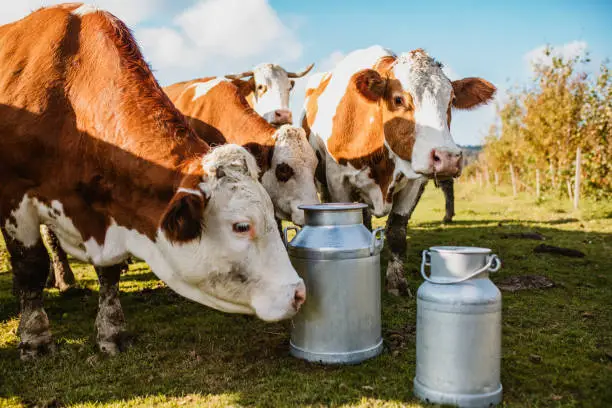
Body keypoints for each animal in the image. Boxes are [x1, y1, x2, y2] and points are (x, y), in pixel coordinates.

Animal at [0, 4, 306, 358]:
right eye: (241, 226)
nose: (299, 293)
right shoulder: (14, 196)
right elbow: (30, 266)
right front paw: (35, 337)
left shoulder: (112, 206)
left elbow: (109, 271)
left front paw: (112, 331)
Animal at [302, 46, 498, 294]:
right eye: (398, 99)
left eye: (451, 100)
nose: (448, 158)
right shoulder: (339, 182)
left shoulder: (415, 183)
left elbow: (396, 231)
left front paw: (396, 282)